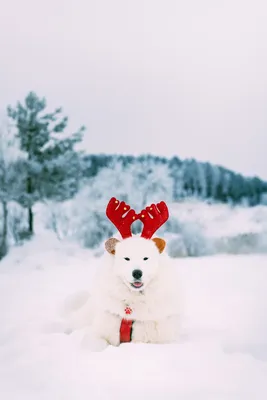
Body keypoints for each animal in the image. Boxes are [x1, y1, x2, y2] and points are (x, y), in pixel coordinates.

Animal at [61, 198, 181, 352]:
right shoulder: (98, 331)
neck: (131, 304)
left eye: (145, 258)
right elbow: (94, 344)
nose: (137, 272)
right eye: (127, 258)